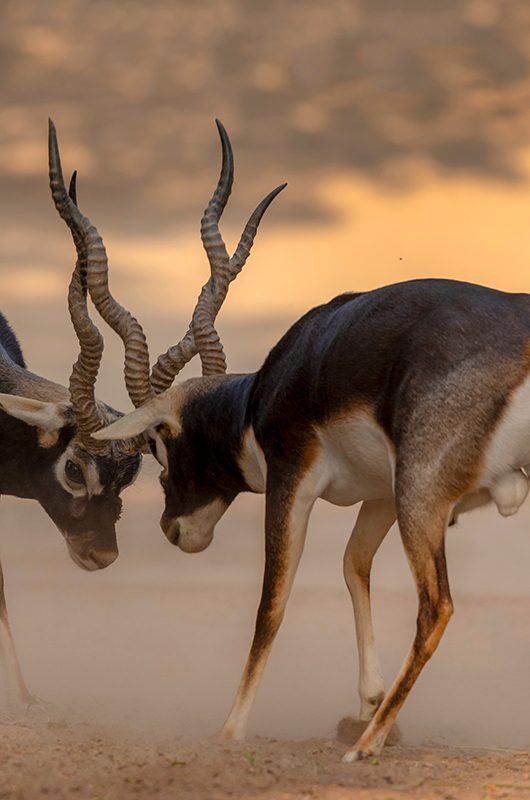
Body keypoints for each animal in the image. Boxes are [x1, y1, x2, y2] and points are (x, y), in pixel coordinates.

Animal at [93, 122, 524, 760]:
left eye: (161, 443)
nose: (174, 530)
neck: (265, 393)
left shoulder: (293, 479)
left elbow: (271, 604)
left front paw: (229, 730)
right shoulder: (378, 494)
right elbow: (352, 565)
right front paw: (367, 702)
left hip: (421, 498)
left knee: (436, 607)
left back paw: (365, 747)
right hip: (414, 498)